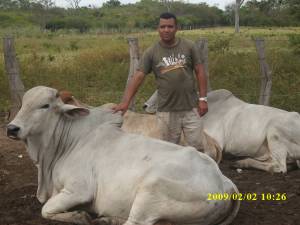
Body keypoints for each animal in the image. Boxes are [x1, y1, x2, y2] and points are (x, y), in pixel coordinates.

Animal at [6, 86, 239, 225]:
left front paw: (79, 215)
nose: (12, 128)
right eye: (23, 104)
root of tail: (226, 183)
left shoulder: (78, 190)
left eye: (45, 106)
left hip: (151, 191)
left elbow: (46, 209)